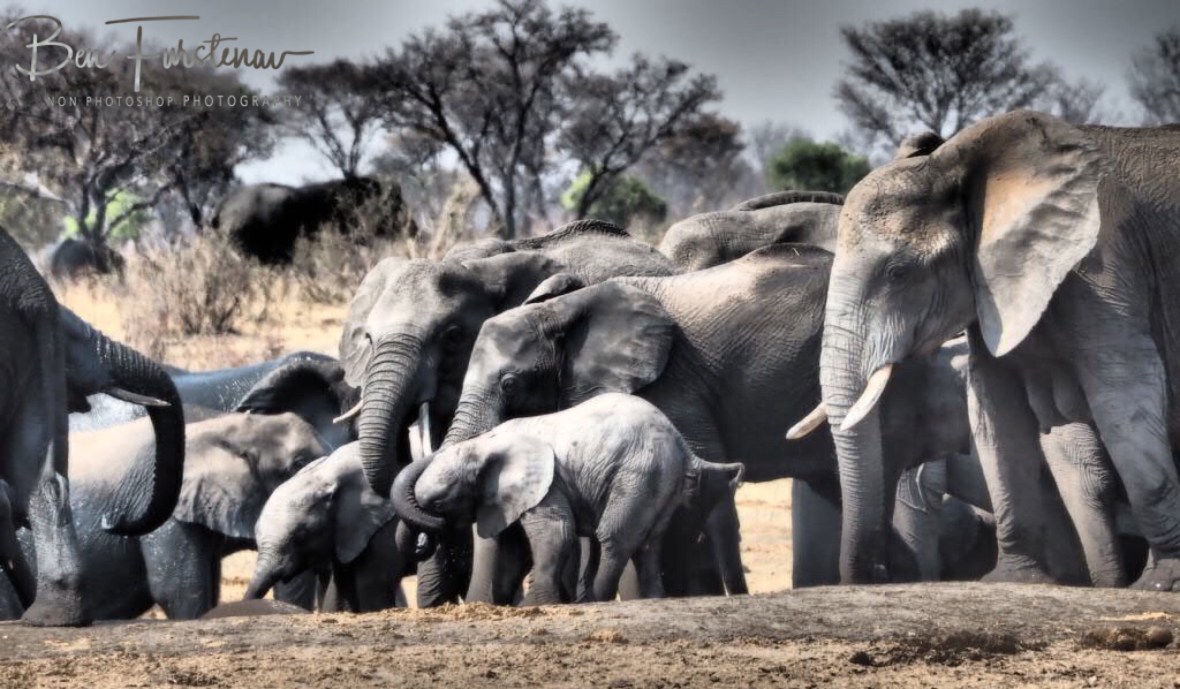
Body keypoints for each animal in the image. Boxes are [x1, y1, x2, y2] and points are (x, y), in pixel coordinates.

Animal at [401, 394, 744, 604]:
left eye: (439, 504)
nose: (422, 544)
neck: (485, 443)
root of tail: (683, 445)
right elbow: (514, 550)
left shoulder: (547, 484)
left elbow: (557, 534)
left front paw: (534, 606)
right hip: (660, 482)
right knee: (648, 546)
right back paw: (651, 599)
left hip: (639, 473)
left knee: (613, 538)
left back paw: (595, 600)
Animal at [808, 109, 1180, 591]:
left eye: (898, 273)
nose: (880, 574)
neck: (955, 164)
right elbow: (995, 408)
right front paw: (1013, 578)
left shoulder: (1103, 265)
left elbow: (1122, 392)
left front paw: (1165, 582)